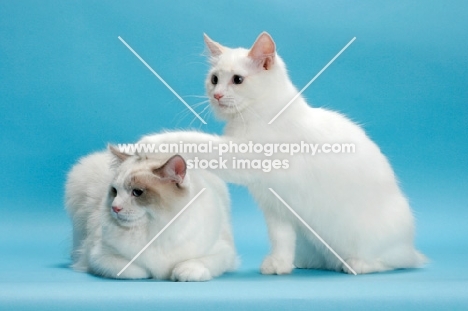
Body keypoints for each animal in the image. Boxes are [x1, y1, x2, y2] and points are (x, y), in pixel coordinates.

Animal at [66, 147, 238, 282]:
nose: (115, 208)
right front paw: (152, 273)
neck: (157, 228)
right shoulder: (99, 256)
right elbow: (136, 270)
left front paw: (182, 273)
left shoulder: (223, 252)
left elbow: (194, 263)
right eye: (114, 192)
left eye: (137, 192)